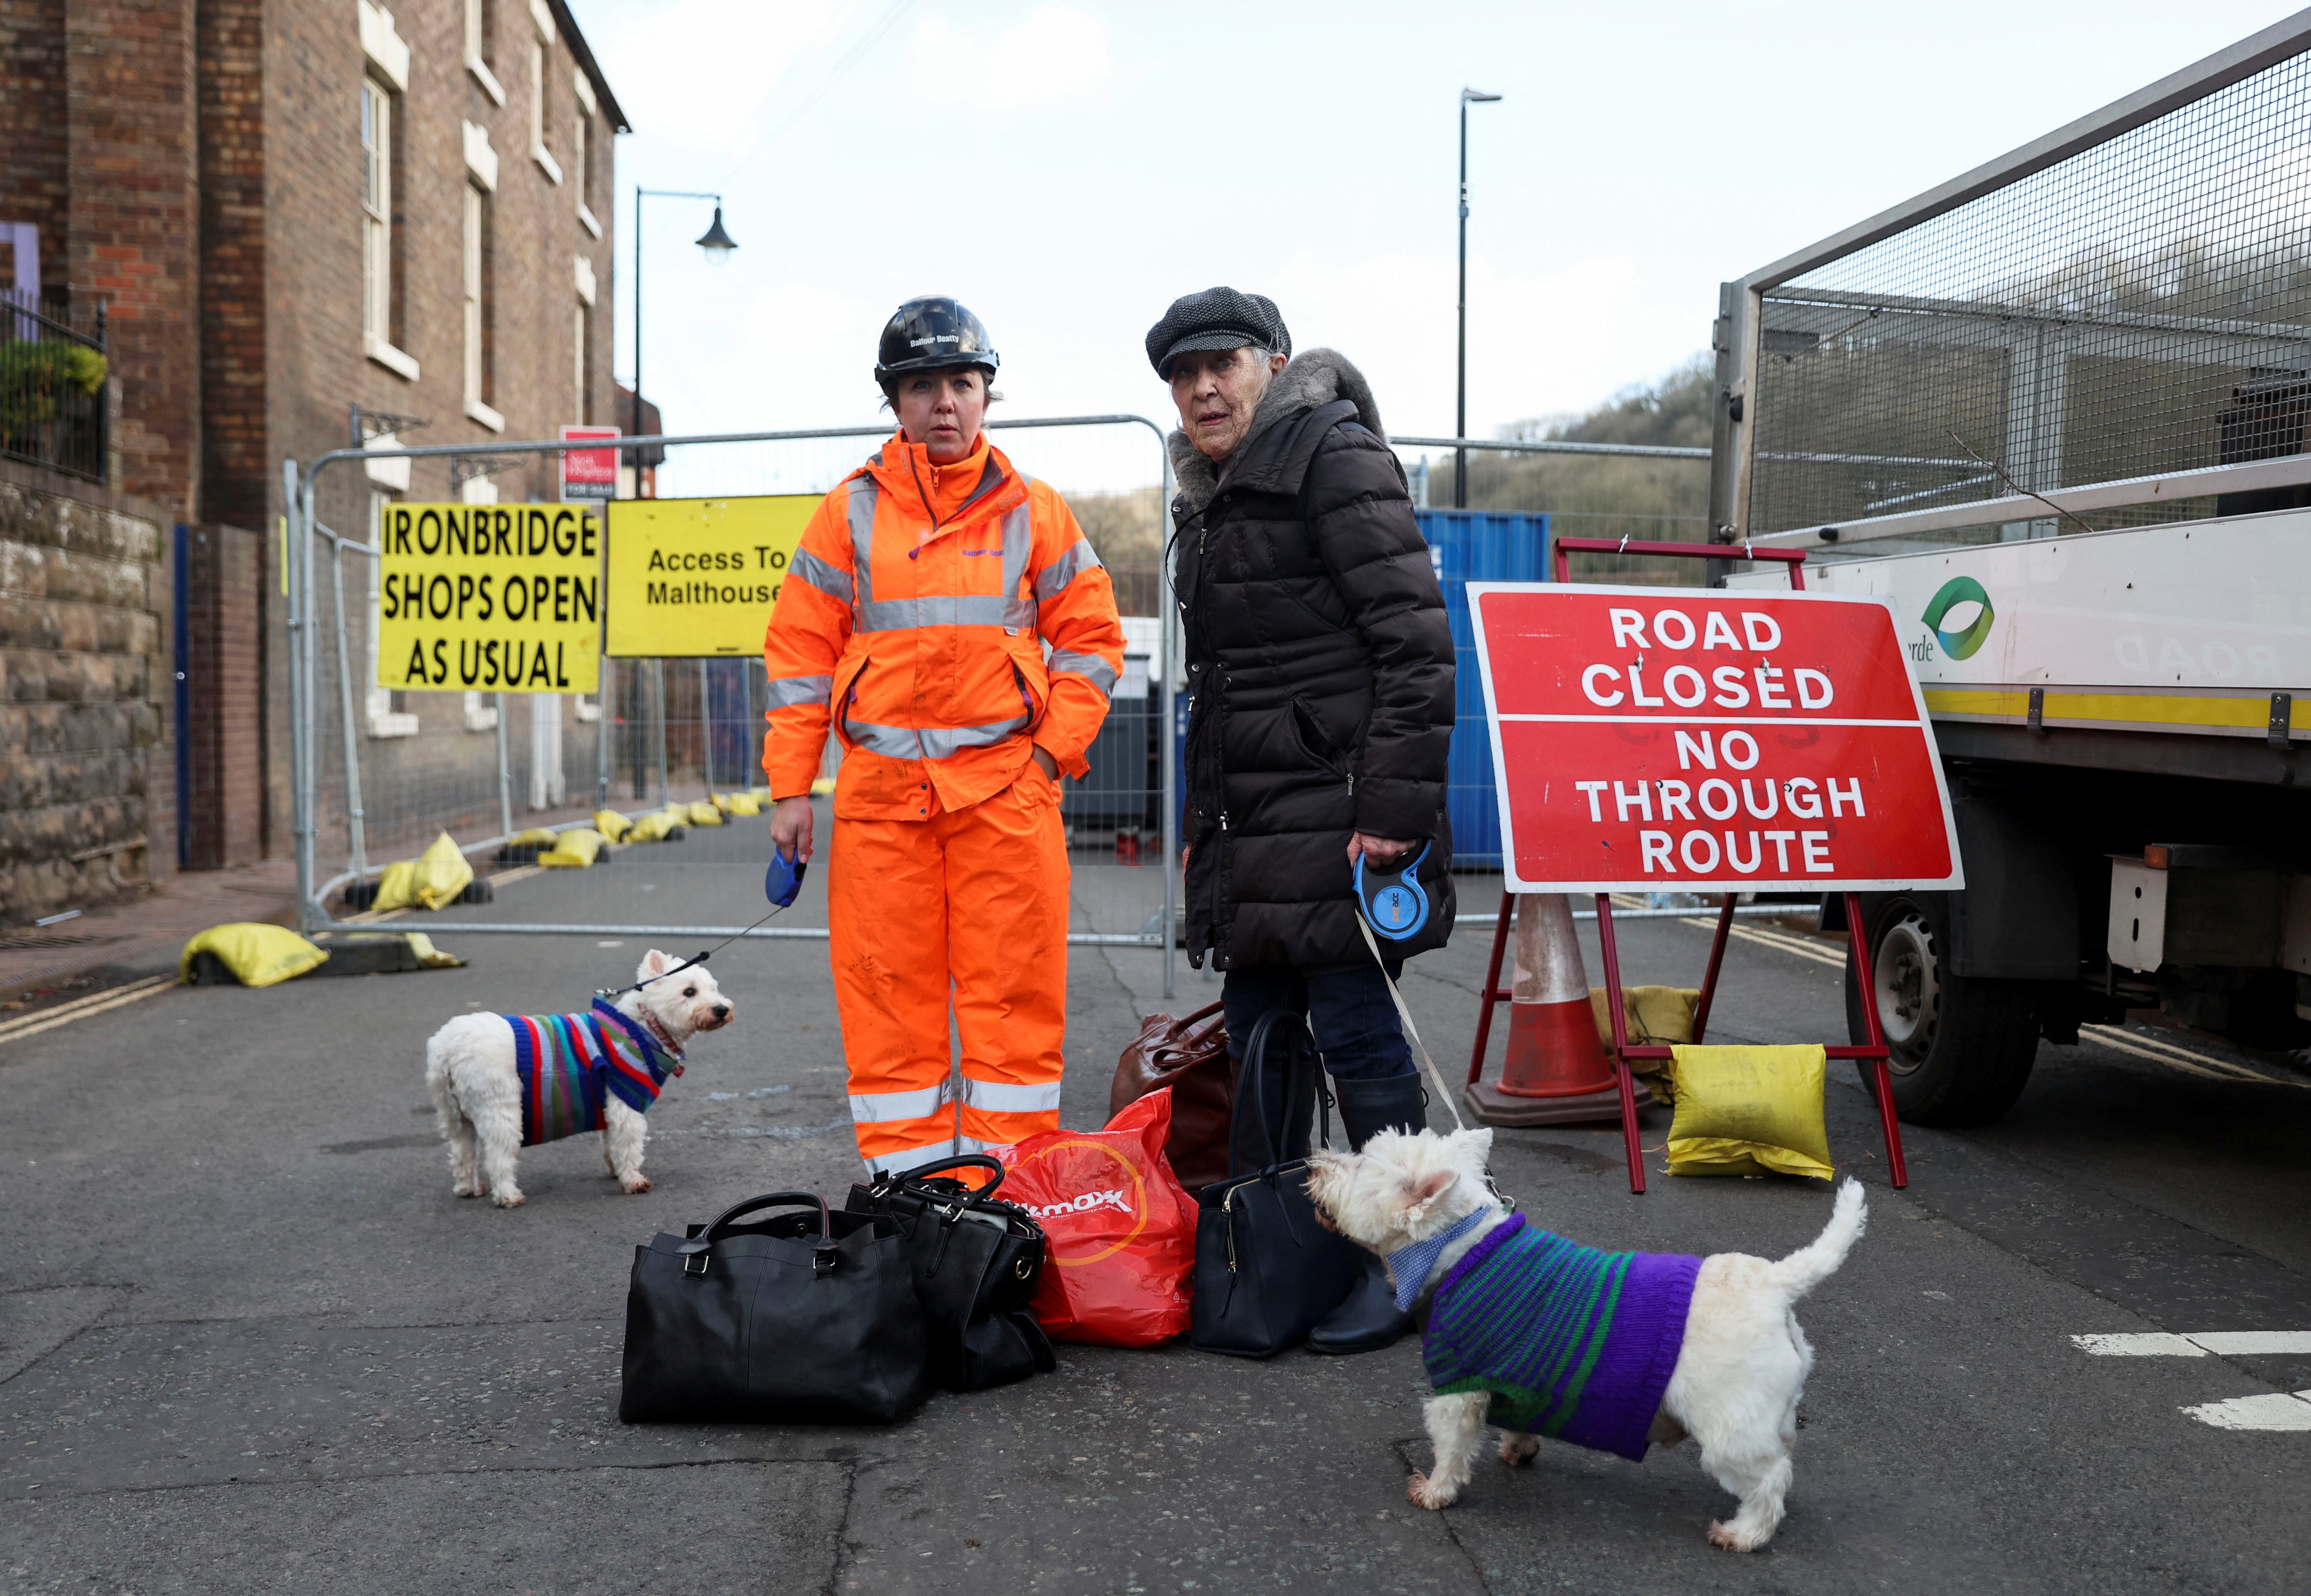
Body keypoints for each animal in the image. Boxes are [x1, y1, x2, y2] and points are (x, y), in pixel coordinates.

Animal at [425, 947, 730, 1210]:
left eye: (714, 989)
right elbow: (629, 1145)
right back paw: (508, 1196)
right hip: (500, 1109)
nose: (722, 1010)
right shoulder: (626, 1101)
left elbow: (611, 1143)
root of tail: (446, 1047)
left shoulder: (609, 1104)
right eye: (689, 991)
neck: (642, 1028)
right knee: (498, 1157)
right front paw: (634, 1181)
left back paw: (469, 1188)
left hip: (456, 1114)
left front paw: (615, 1171)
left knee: (462, 1151)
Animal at [1313, 1122, 1867, 1552]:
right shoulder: (1520, 1382)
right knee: (1783, 1452)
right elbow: (1519, 1422)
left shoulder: (1458, 1386)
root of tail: (1776, 1284)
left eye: (1361, 1163)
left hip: (1728, 1429)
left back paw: (1743, 1534)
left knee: (1771, 1477)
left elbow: (1450, 1446)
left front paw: (1434, 1491)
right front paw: (1518, 1449)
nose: (1313, 1164)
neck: (1460, 1247)